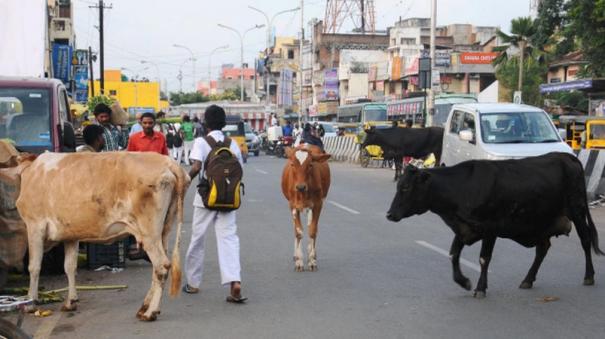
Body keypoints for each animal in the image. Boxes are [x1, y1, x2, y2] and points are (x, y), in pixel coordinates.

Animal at [13, 153, 189, 322]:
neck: (32, 172)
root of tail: (168, 162)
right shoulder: (71, 234)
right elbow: (69, 267)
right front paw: (71, 302)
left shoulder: (35, 227)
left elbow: (34, 267)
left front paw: (30, 303)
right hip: (163, 230)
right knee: (157, 267)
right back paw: (144, 307)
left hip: (149, 233)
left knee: (161, 266)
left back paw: (150, 312)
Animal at [386, 153, 600, 298]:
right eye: (398, 186)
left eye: (406, 187)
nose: (389, 214)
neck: (462, 188)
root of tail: (567, 156)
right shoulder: (463, 228)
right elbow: (453, 254)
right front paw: (464, 282)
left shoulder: (490, 229)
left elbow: (483, 259)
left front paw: (480, 288)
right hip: (541, 223)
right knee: (543, 249)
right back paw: (527, 280)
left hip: (577, 211)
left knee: (585, 240)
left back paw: (589, 276)